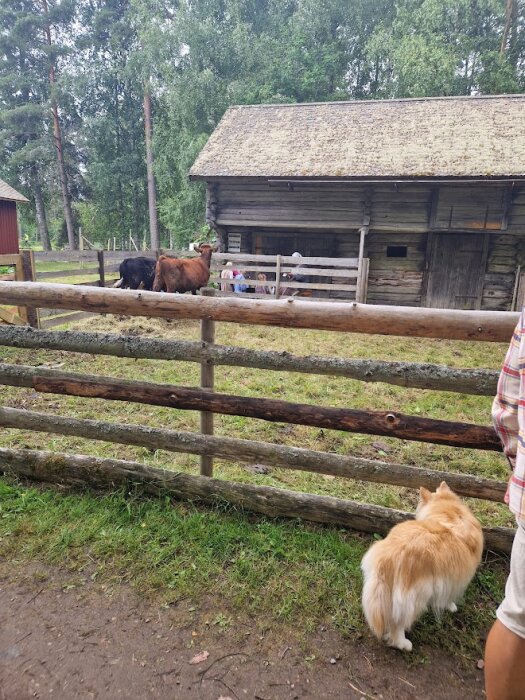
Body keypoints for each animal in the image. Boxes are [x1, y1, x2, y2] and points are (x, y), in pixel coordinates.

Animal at [362, 482, 482, 652]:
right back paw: (403, 644)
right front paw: (451, 606)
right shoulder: (454, 579)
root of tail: (390, 557)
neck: (451, 513)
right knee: (398, 625)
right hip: (417, 597)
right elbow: (449, 597)